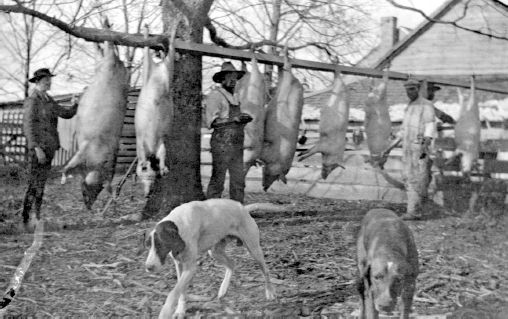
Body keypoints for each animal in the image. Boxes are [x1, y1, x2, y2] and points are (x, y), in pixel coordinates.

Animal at [143, 199, 278, 318]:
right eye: (148, 245)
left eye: (160, 244)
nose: (148, 267)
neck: (179, 224)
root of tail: (243, 208)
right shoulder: (180, 265)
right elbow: (181, 292)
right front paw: (180, 311)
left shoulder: (190, 268)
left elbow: (173, 293)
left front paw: (166, 312)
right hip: (214, 252)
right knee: (232, 263)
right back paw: (223, 289)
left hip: (254, 249)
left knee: (265, 270)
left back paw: (270, 292)